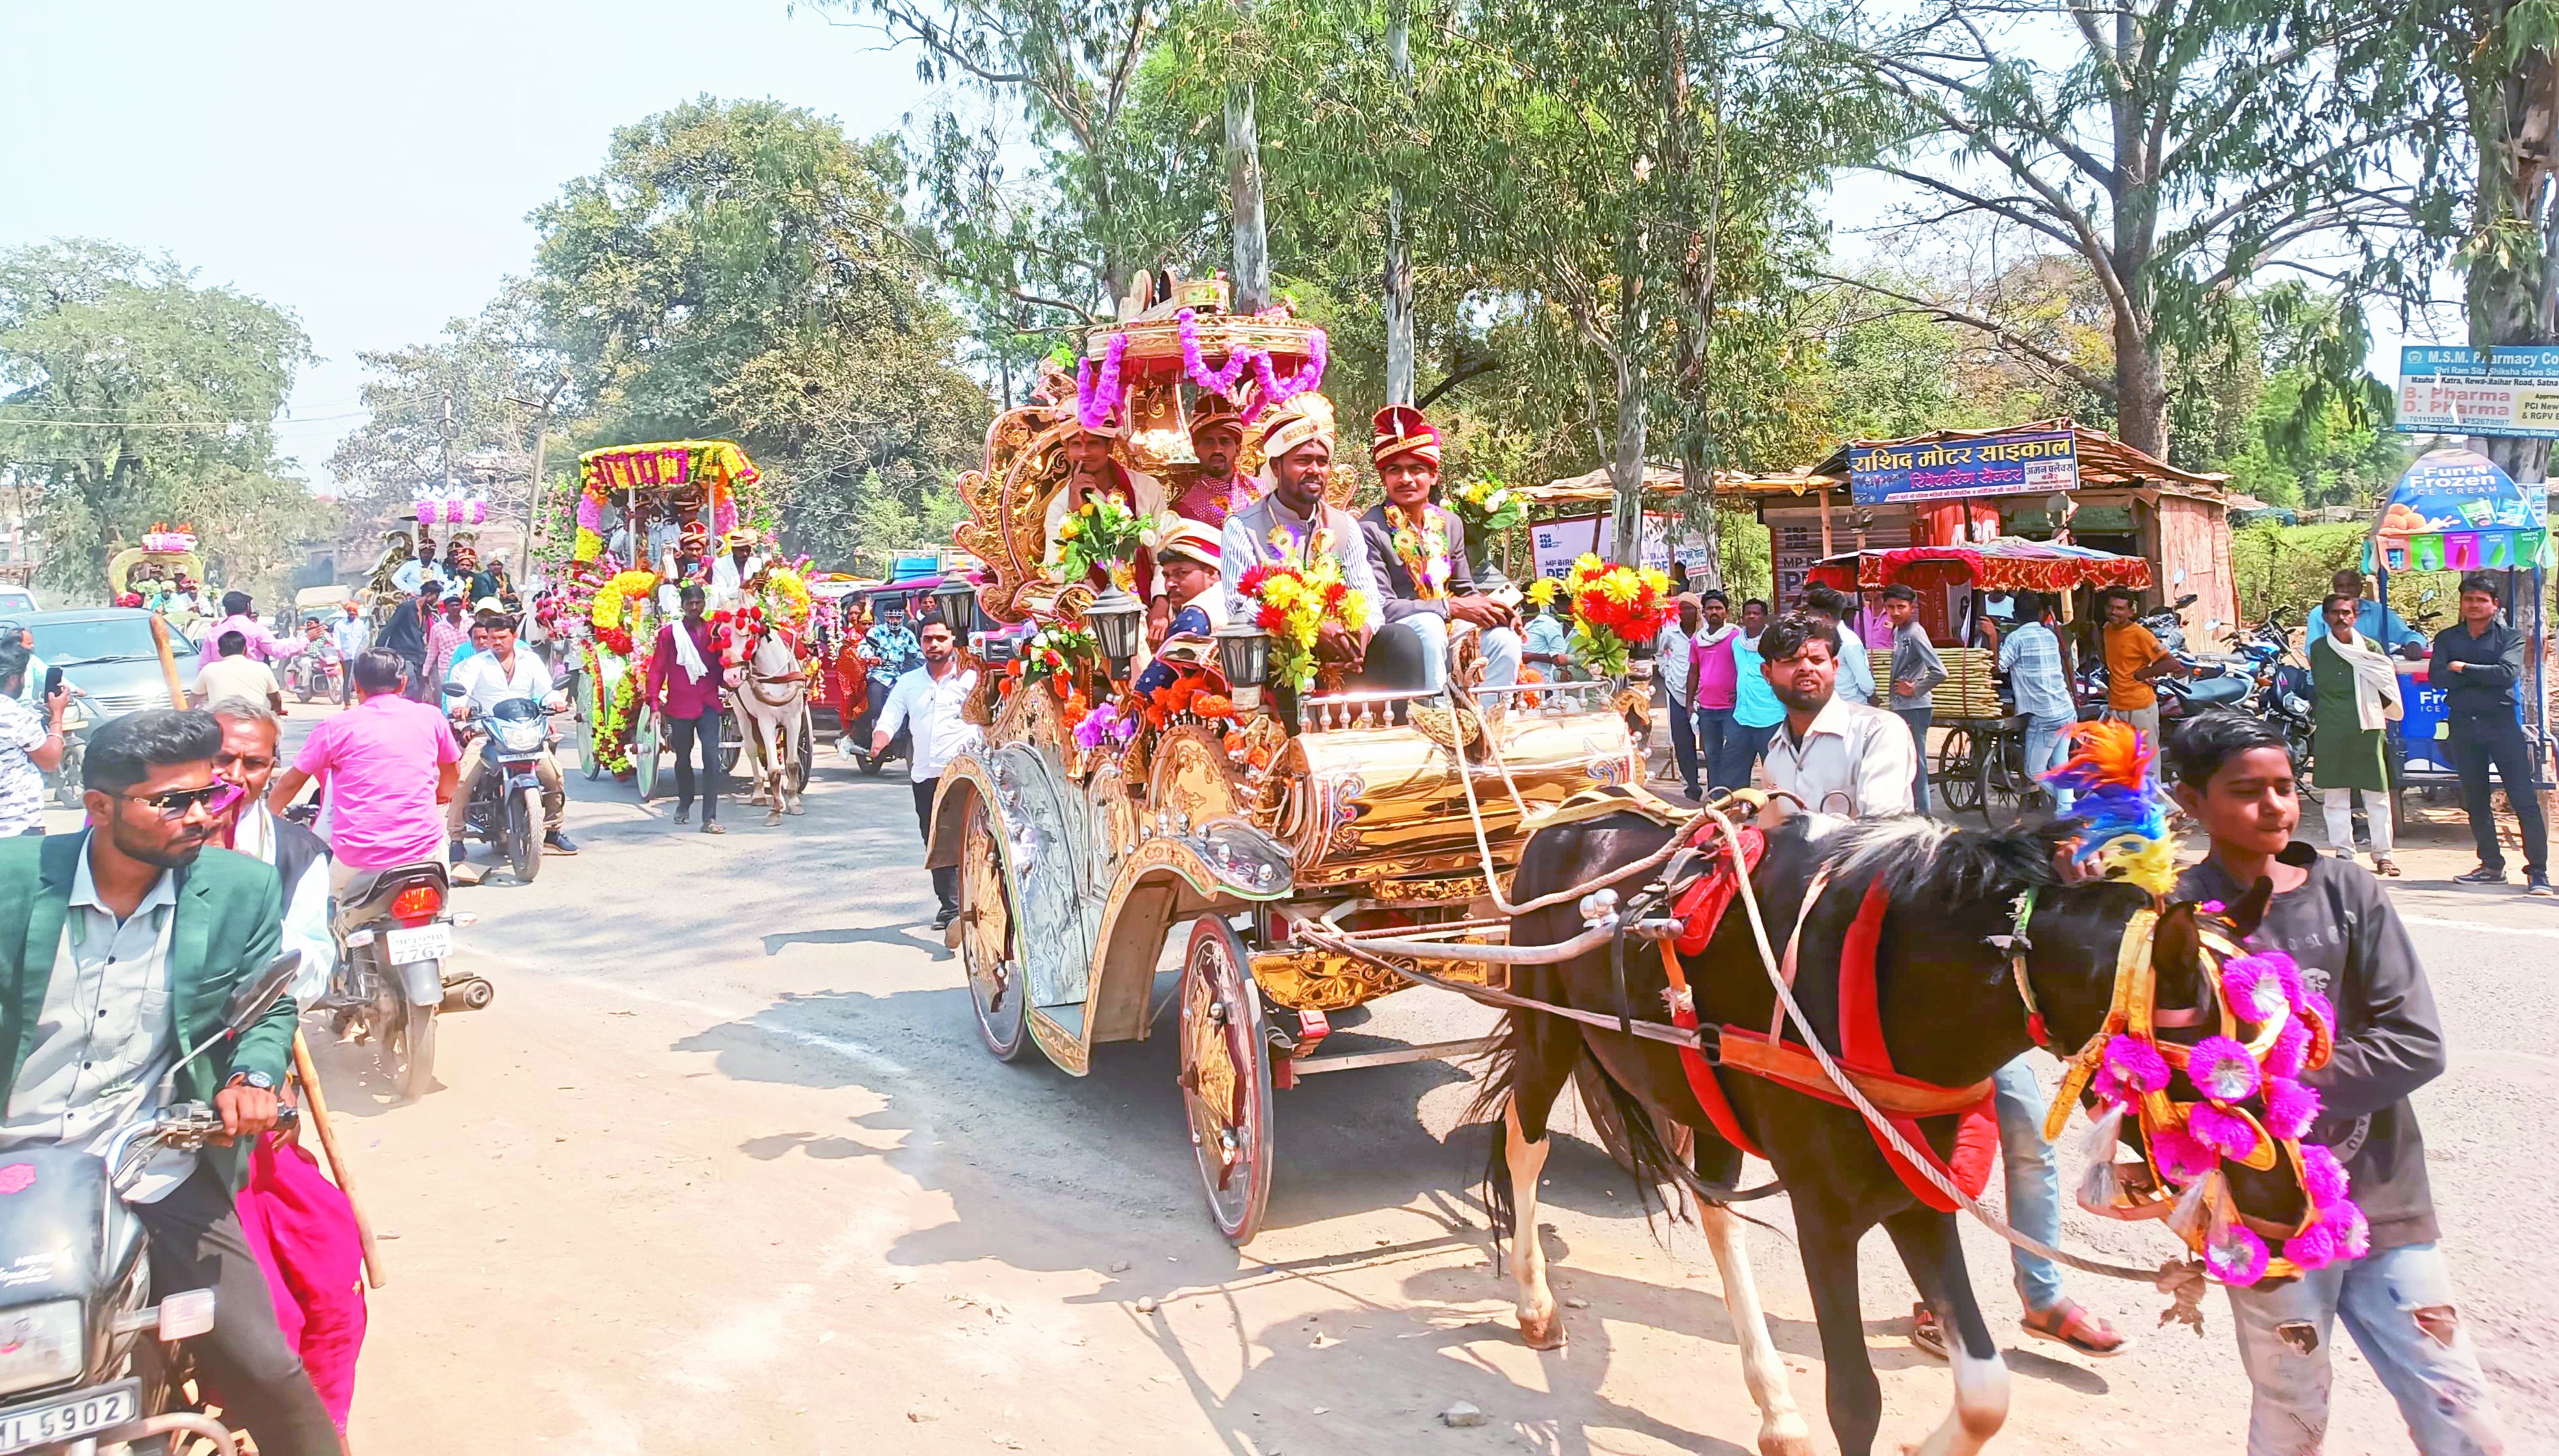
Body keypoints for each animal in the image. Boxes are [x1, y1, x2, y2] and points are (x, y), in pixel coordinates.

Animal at [732, 619, 808, 824]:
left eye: (747, 637)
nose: (731, 673)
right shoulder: (765, 722)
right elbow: (774, 769)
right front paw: (776, 809)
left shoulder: (794, 719)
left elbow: (793, 763)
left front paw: (794, 801)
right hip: (742, 715)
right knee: (751, 750)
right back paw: (759, 793)